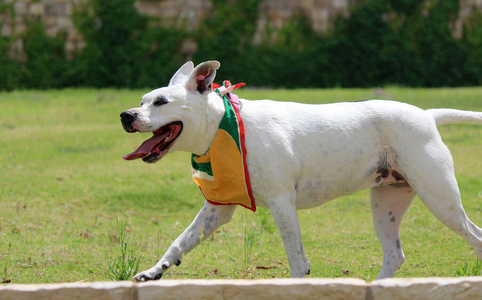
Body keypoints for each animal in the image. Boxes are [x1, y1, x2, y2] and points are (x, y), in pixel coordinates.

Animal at [121, 61, 482, 282]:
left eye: (161, 102)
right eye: (142, 100)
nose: (126, 115)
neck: (221, 125)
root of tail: (427, 115)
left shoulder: (282, 203)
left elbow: (295, 257)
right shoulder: (217, 209)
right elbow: (179, 242)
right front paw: (154, 270)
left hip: (439, 198)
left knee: (474, 235)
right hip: (386, 205)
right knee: (395, 255)